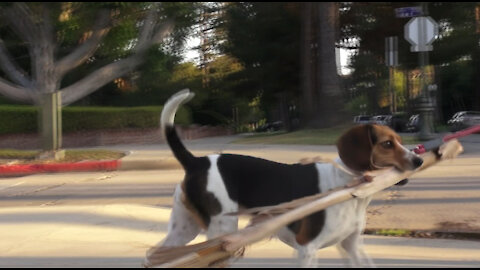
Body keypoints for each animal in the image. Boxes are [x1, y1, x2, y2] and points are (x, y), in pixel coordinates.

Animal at [146, 89, 424, 266]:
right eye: (387, 144)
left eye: (400, 140)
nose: (419, 160)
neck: (347, 184)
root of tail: (197, 161)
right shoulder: (306, 249)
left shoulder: (352, 246)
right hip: (222, 234)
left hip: (184, 230)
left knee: (154, 256)